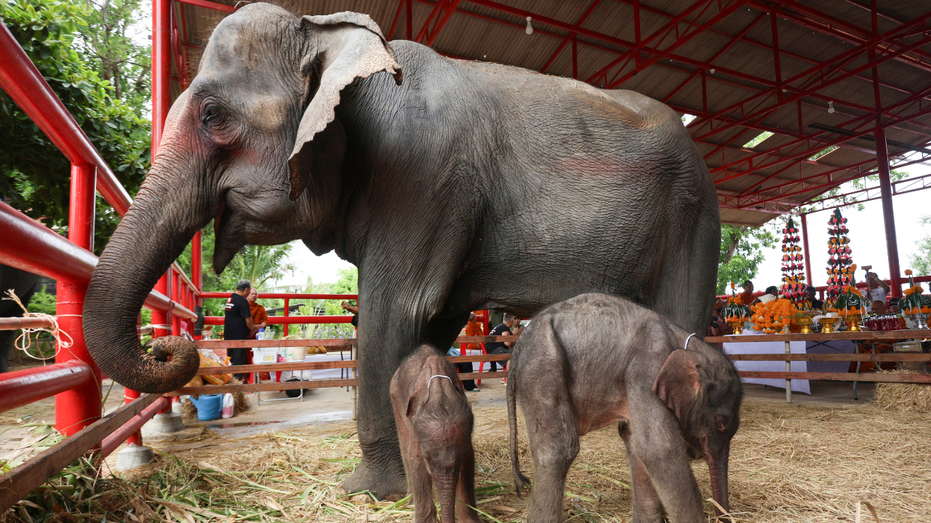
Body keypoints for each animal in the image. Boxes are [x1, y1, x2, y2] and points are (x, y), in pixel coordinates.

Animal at [82, 2, 720, 500]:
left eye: (213, 116)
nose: (170, 345)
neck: (331, 36)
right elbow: (428, 329)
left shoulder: (422, 179)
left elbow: (395, 313)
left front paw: (369, 491)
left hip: (694, 216)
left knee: (683, 321)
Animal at [392, 344, 484, 523]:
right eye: (428, 458)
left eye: (463, 455)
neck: (439, 388)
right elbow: (415, 458)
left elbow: (469, 463)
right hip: (394, 396)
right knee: (404, 448)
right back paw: (410, 502)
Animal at [510, 294, 744, 523]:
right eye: (720, 422)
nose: (725, 517)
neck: (686, 342)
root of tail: (519, 344)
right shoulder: (647, 368)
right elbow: (658, 449)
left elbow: (634, 442)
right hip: (543, 366)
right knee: (558, 450)